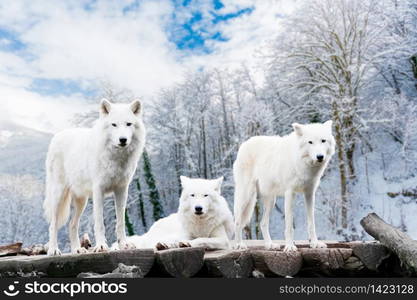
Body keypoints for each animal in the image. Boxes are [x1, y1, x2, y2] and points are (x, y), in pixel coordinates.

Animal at [43, 98, 145, 255]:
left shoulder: (122, 190)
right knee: (53, 225)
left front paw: (124, 245)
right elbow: (99, 222)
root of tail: (57, 136)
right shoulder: (98, 190)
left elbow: (121, 222)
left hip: (82, 201)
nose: (123, 139)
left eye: (128, 124)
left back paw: (77, 250)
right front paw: (101, 246)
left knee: (72, 224)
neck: (116, 158)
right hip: (58, 196)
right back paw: (54, 250)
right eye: (114, 124)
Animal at [234, 120, 334, 252]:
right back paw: (239, 245)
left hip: (271, 201)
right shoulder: (290, 193)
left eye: (323, 140)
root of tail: (244, 143)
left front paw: (315, 243)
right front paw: (290, 246)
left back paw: (270, 245)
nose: (320, 157)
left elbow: (311, 223)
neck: (302, 163)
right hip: (247, 196)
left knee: (263, 223)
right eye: (310, 142)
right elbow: (289, 225)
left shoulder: (309, 193)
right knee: (237, 221)